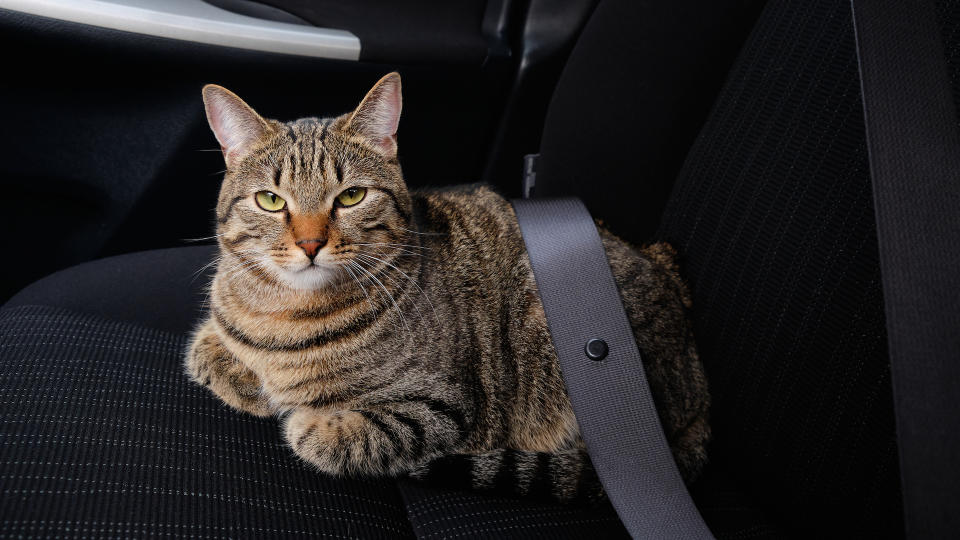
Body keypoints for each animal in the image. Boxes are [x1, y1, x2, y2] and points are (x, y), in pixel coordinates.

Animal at [188, 71, 708, 502]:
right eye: (271, 200)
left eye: (351, 196)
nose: (311, 243)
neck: (282, 315)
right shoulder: (216, 331)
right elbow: (204, 350)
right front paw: (248, 379)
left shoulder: (445, 407)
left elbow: (327, 435)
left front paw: (298, 412)